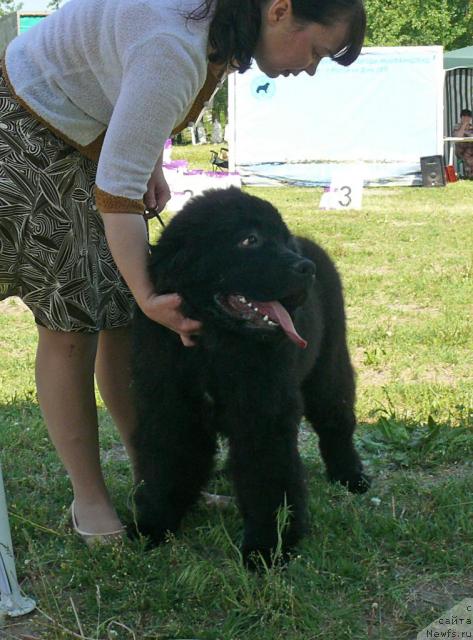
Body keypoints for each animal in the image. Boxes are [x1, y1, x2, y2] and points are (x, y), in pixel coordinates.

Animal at [132, 188, 368, 568]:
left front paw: (268, 547)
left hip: (328, 367)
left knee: (336, 420)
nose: (306, 269)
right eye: (249, 240)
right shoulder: (170, 409)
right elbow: (165, 462)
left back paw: (350, 476)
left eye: (282, 240)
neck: (213, 346)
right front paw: (153, 524)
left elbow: (268, 478)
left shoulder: (263, 415)